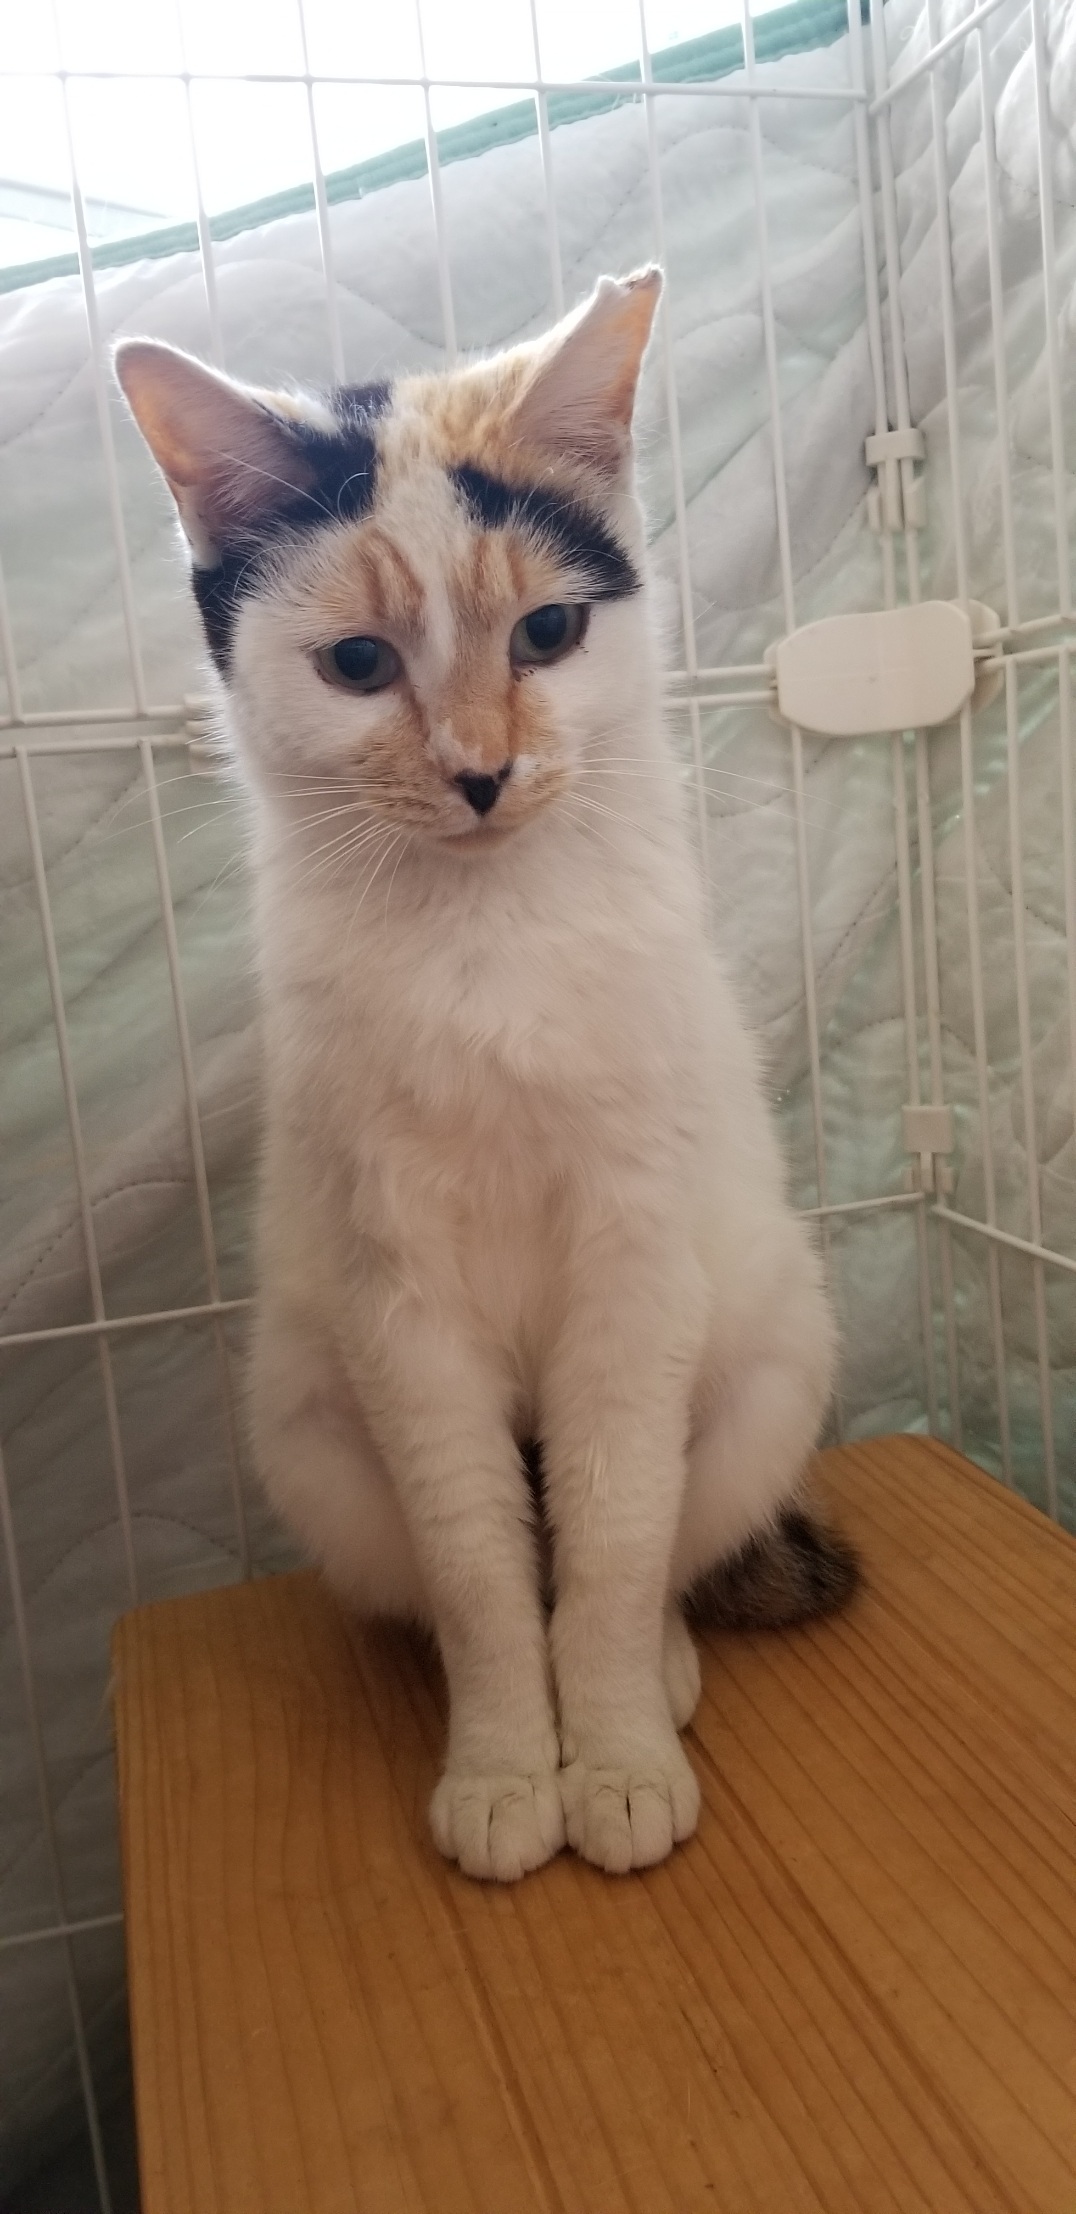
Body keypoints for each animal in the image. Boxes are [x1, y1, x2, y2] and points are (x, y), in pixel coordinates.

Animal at [116, 269, 857, 1883]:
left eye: (550, 631)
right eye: (356, 664)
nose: (478, 772)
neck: (485, 939)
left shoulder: (634, 1269)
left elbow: (615, 1538)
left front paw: (616, 1757)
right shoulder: (399, 1301)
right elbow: (478, 1567)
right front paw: (512, 1766)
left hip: (766, 1368)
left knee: (658, 1550)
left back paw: (663, 1671)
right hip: (311, 1429)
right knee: (443, 1573)